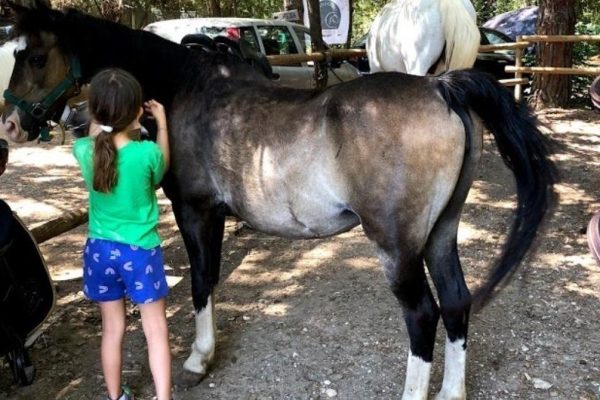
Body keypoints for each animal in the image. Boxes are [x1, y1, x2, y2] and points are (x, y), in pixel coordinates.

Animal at [0, 3, 556, 400]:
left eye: (34, 56)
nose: (11, 125)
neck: (187, 90)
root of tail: (441, 86)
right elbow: (211, 279)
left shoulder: (195, 210)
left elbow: (200, 281)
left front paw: (198, 358)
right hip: (441, 231)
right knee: (457, 302)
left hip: (397, 246)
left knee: (422, 315)